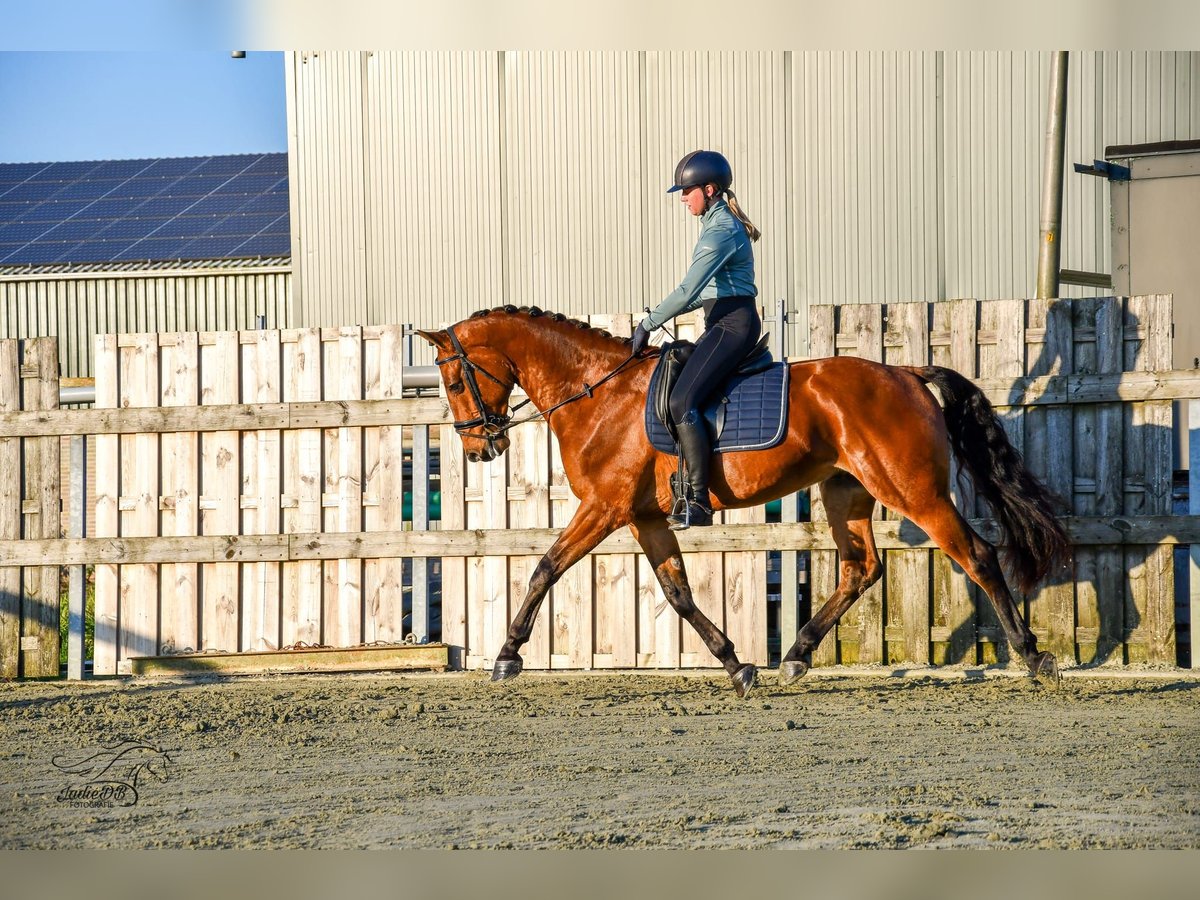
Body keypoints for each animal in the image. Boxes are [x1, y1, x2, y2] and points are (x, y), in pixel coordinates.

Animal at [420, 304, 1070, 696]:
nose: (480, 448)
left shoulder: (604, 508)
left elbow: (545, 568)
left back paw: (1034, 656)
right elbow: (678, 593)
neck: (596, 393)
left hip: (914, 491)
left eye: (452, 381)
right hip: (847, 493)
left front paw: (507, 655)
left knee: (978, 555)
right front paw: (737, 665)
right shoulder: (645, 517)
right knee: (861, 568)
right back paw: (798, 654)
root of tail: (906, 373)